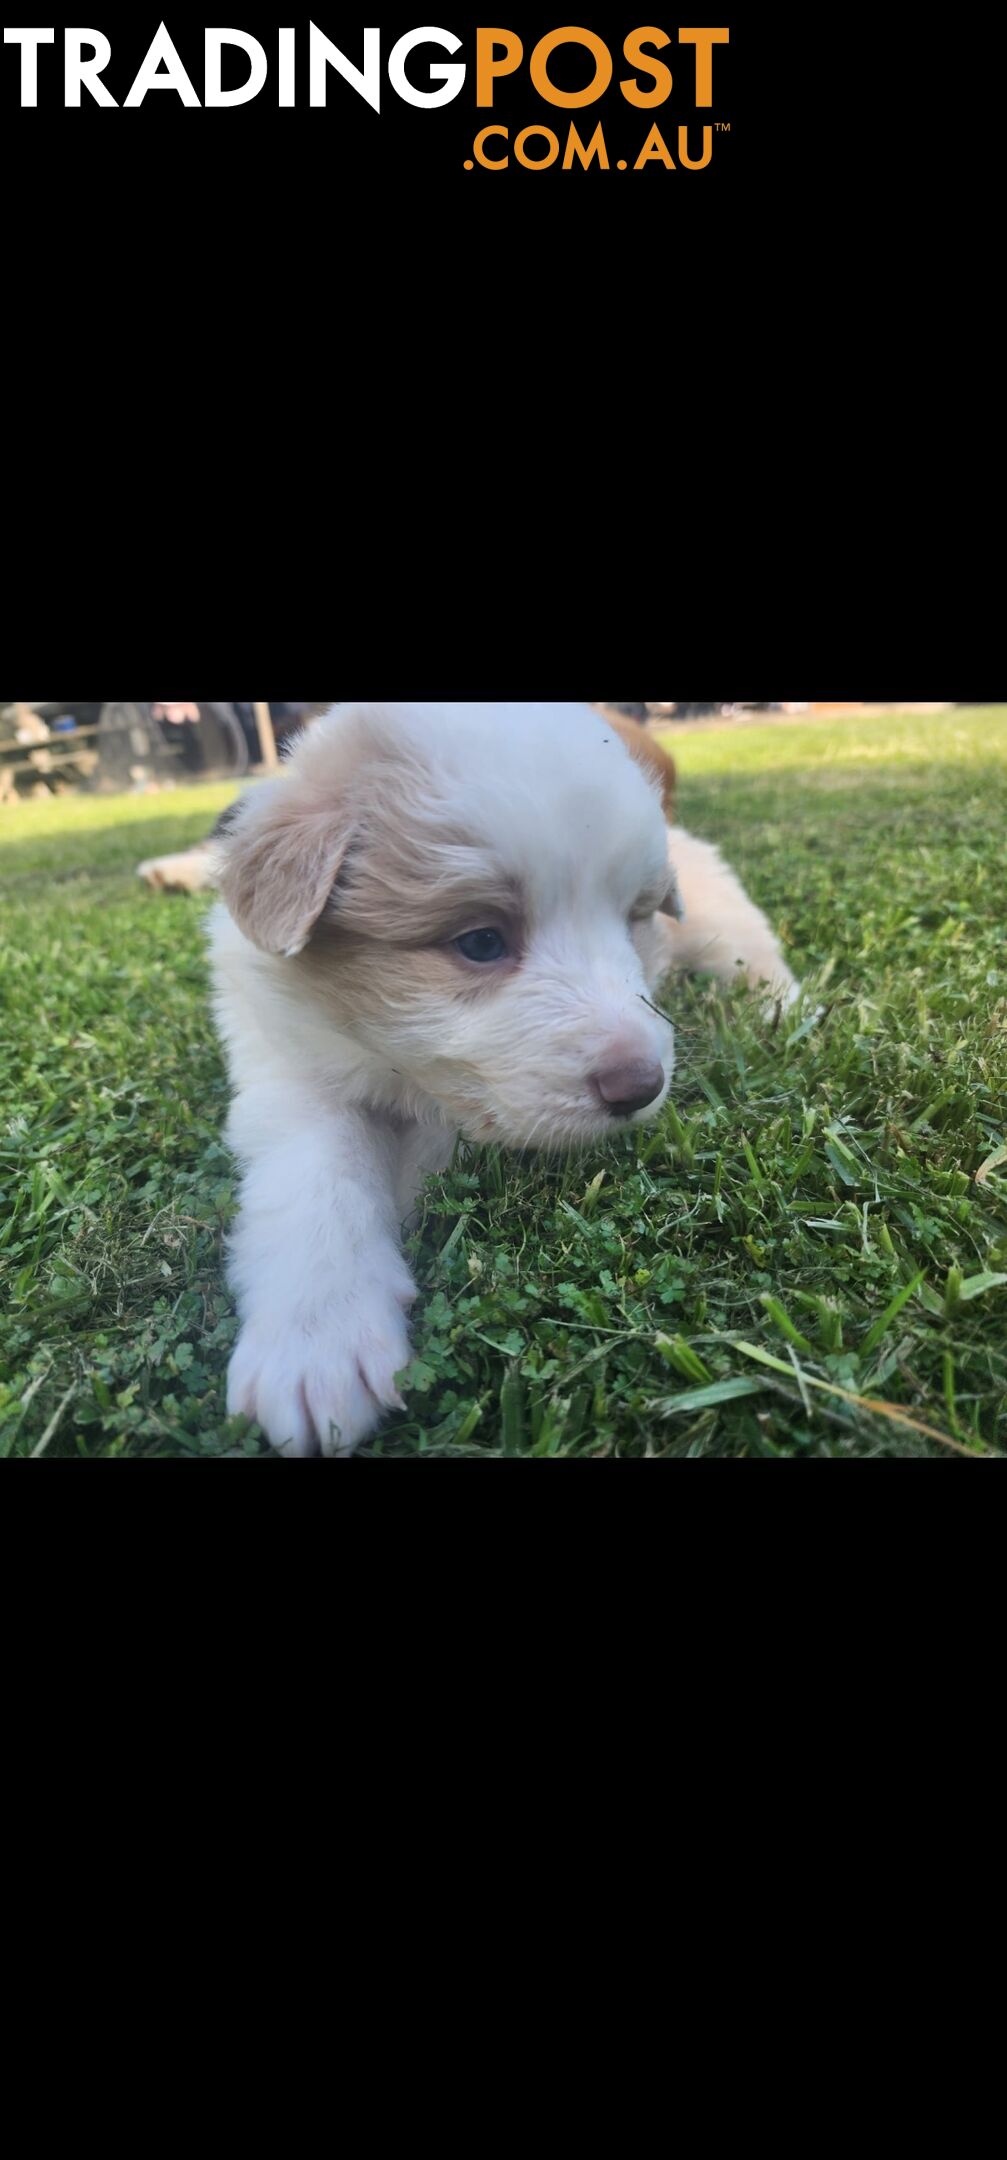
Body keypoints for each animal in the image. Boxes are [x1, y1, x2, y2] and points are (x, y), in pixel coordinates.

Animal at [137, 704, 795, 1451]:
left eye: (634, 921)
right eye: (481, 941)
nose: (640, 1086)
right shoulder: (282, 1059)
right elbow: (318, 1168)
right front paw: (317, 1340)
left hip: (713, 912)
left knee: (748, 947)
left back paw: (788, 1009)